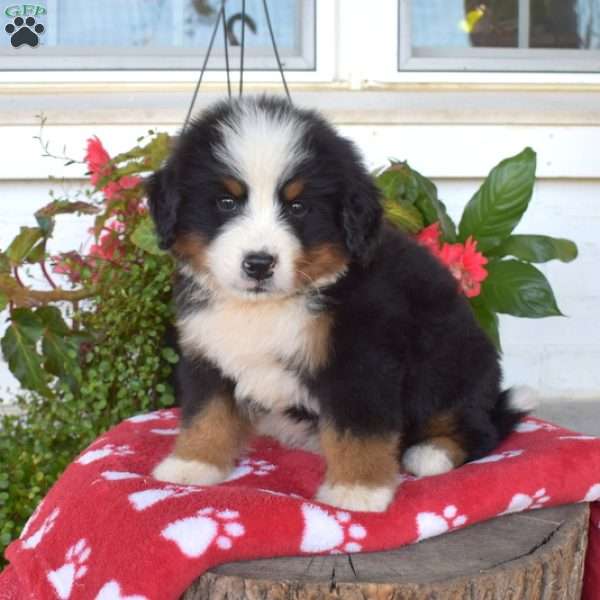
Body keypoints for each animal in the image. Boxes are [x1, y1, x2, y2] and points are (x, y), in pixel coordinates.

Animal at [148, 97, 536, 510]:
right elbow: (207, 411)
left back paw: (432, 452)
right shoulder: (209, 348)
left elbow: (358, 429)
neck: (268, 307)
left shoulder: (360, 358)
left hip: (452, 362)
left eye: (298, 207)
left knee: (480, 428)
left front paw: (357, 491)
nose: (259, 263)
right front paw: (192, 464)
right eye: (226, 202)